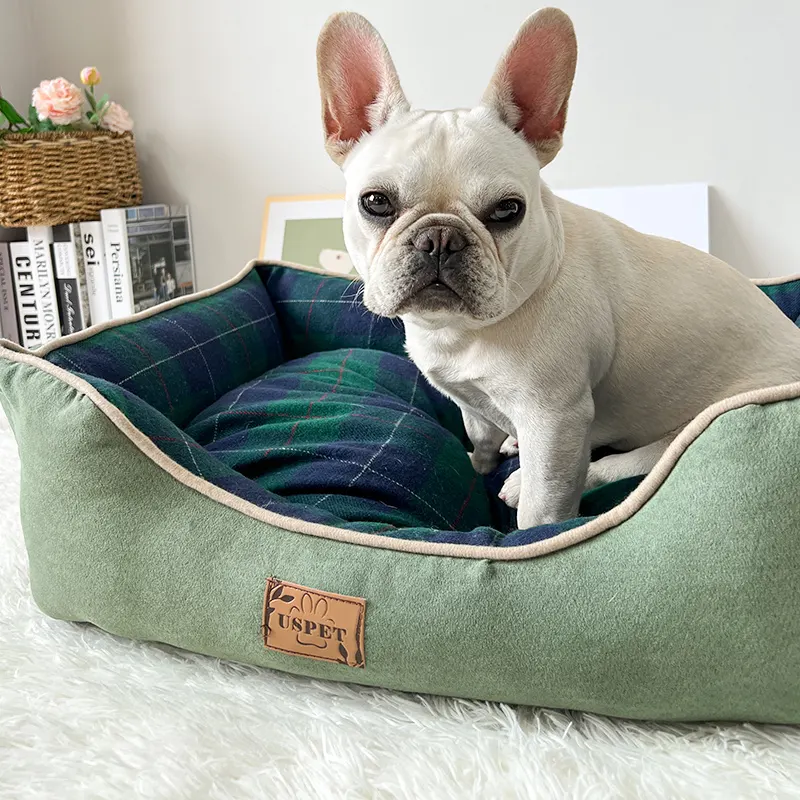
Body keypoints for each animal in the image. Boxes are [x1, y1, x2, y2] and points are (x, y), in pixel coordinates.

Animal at [316, 9, 800, 532]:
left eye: (508, 210)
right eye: (375, 202)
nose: (440, 238)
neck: (461, 331)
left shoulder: (556, 420)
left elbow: (544, 505)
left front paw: (532, 530)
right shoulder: (472, 405)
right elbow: (480, 439)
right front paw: (480, 464)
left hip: (686, 430)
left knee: (616, 464)